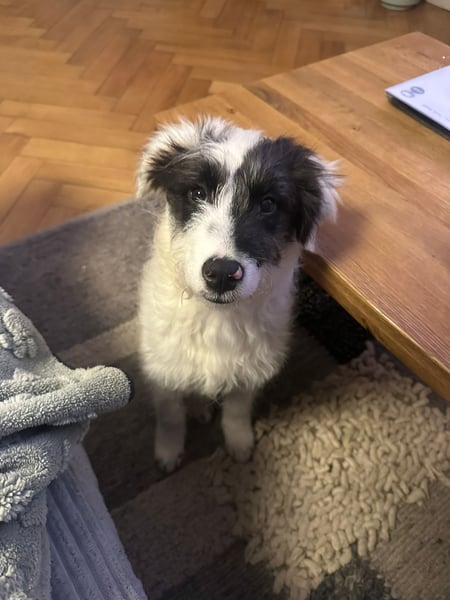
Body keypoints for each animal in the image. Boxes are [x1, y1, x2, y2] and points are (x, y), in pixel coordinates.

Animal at [136, 116, 339, 472]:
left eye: (268, 204)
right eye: (197, 193)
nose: (221, 274)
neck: (217, 319)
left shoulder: (251, 373)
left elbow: (236, 411)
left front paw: (240, 444)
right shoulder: (163, 369)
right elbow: (171, 416)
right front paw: (168, 453)